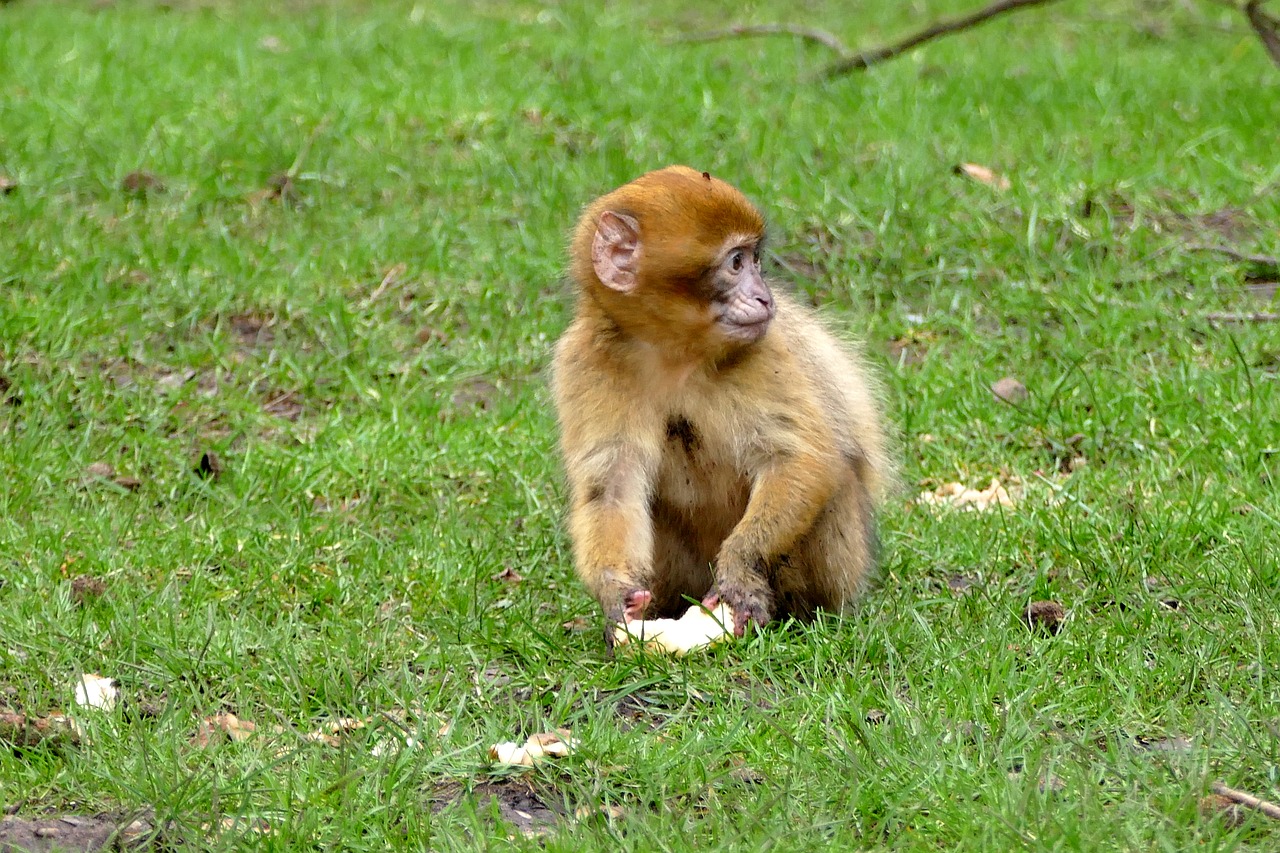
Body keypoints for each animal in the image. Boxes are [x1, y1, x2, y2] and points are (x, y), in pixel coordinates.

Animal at [550, 163, 890, 645]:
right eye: (736, 263)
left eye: (754, 260)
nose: (766, 296)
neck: (674, 354)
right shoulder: (582, 361)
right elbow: (610, 485)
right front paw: (615, 594)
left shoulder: (768, 349)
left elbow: (801, 459)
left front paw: (741, 571)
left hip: (841, 569)